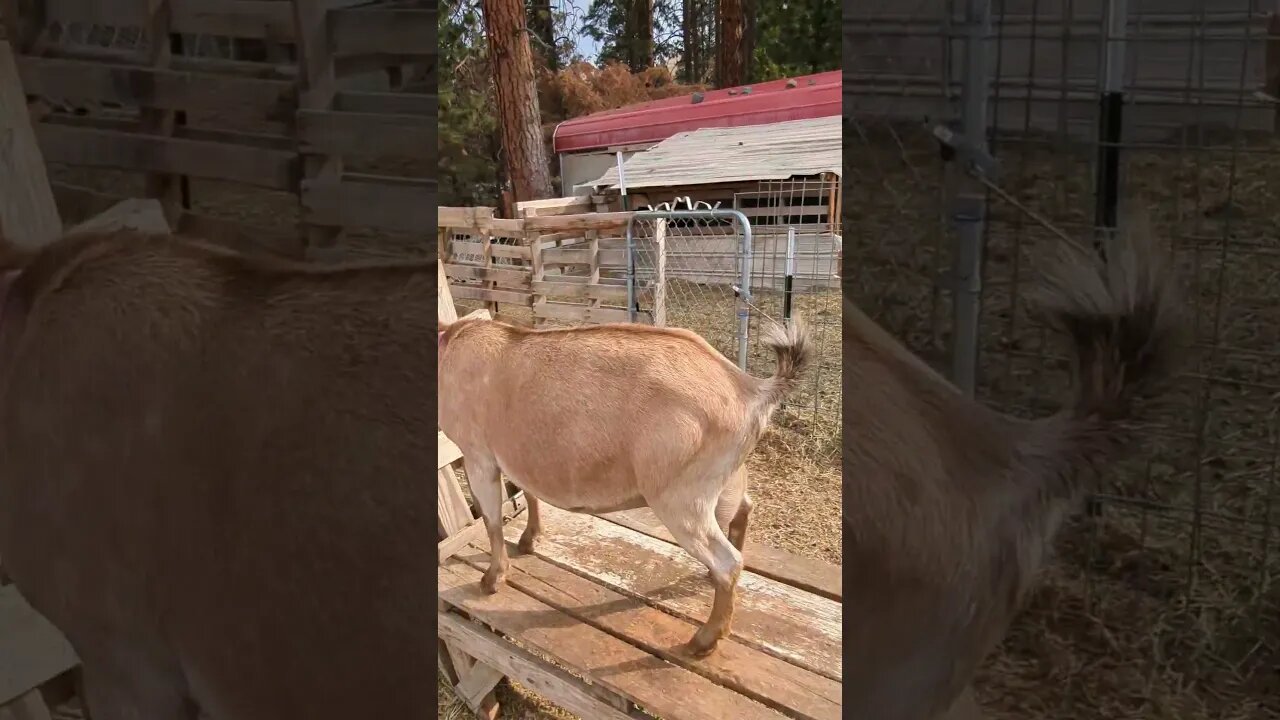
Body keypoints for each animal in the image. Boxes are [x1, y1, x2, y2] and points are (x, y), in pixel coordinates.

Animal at [440, 311, 814, 653]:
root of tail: (751, 390)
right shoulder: (518, 456)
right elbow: (529, 493)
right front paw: (529, 540)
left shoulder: (478, 456)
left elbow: (491, 521)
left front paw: (492, 579)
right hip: (726, 479)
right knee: (744, 509)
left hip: (681, 498)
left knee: (728, 561)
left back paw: (703, 641)